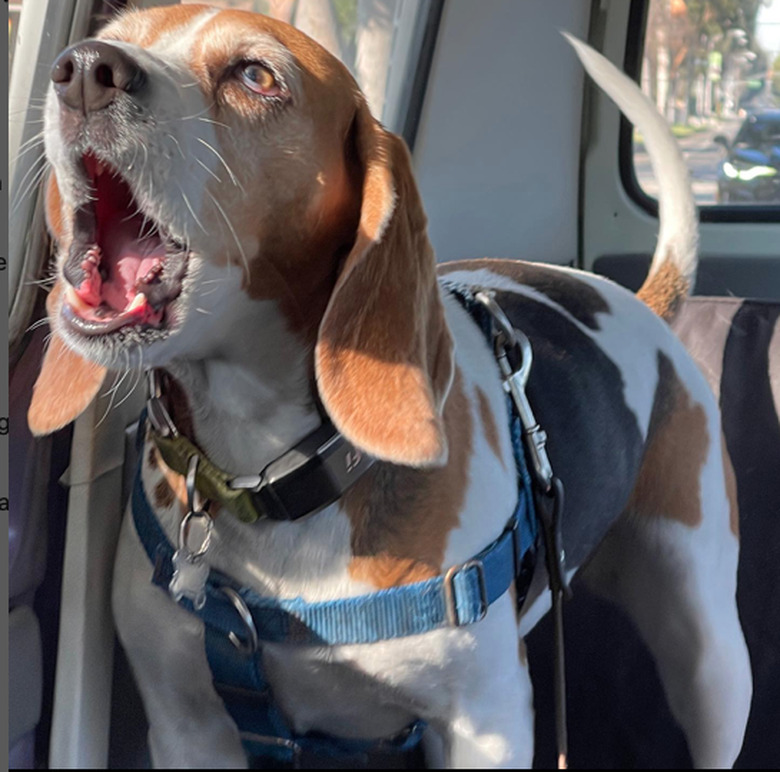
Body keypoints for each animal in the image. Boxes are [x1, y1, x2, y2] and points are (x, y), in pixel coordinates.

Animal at [27, 4, 752, 764]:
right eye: (117, 34)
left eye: (256, 76)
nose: (85, 70)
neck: (271, 475)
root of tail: (635, 300)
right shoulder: (187, 725)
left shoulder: (488, 723)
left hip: (711, 655)